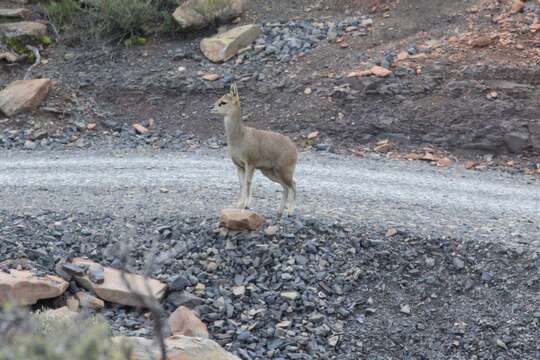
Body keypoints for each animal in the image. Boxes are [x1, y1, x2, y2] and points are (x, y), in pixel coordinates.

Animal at [211, 83, 298, 217]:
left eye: (223, 102)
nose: (211, 108)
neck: (240, 137)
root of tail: (294, 148)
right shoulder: (239, 166)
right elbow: (241, 184)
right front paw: (239, 205)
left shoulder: (250, 164)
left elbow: (248, 182)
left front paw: (247, 205)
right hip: (270, 172)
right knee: (285, 187)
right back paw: (279, 211)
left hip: (285, 170)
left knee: (293, 184)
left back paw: (290, 212)